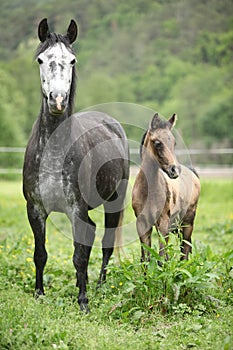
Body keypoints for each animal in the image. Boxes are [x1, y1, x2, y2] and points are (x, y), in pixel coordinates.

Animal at [132, 113, 201, 262]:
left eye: (174, 143)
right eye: (157, 142)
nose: (174, 170)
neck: (149, 191)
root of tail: (192, 173)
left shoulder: (163, 222)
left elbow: (161, 256)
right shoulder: (142, 223)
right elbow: (145, 258)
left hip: (188, 222)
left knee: (185, 248)